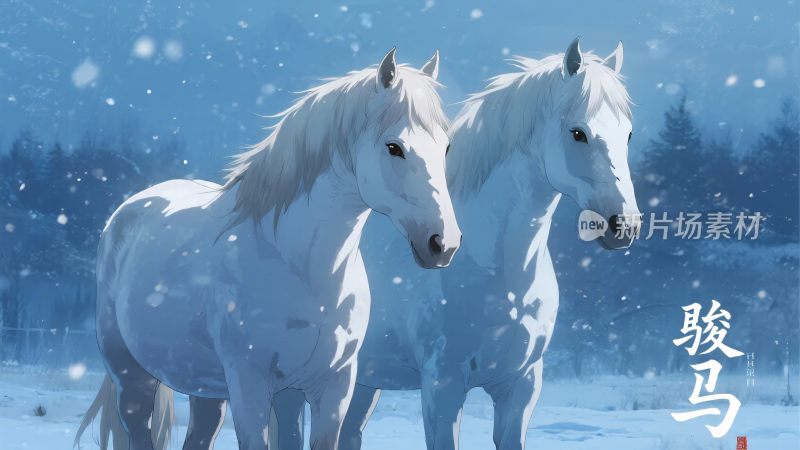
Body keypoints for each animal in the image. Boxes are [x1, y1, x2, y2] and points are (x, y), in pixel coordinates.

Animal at [74, 48, 461, 450]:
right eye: (394, 147)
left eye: (446, 147)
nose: (442, 244)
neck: (303, 268)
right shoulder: (250, 383)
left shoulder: (330, 385)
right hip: (131, 375)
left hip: (205, 387)